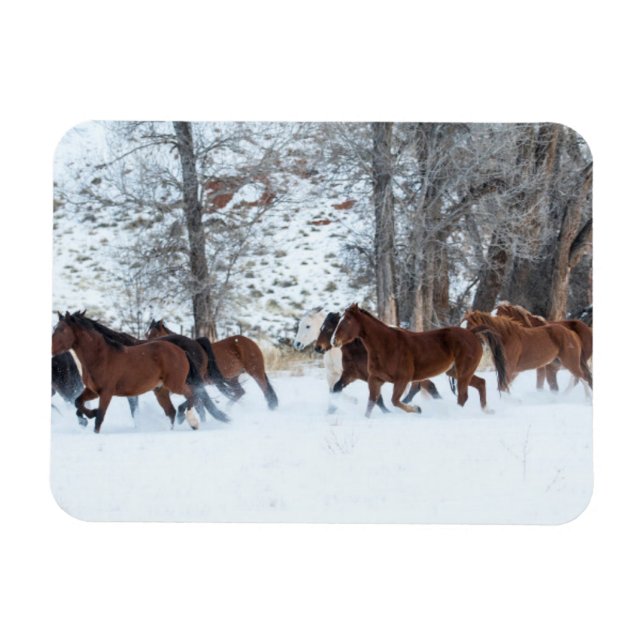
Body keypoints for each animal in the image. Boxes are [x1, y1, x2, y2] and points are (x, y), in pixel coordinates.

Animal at [52, 311, 229, 433]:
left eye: (62, 330)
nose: (51, 349)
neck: (101, 356)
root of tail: (182, 350)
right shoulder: (93, 391)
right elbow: (78, 403)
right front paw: (87, 417)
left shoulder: (107, 392)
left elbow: (100, 418)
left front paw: (93, 421)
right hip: (161, 390)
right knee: (174, 410)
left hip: (176, 384)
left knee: (193, 398)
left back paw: (190, 420)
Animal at [147, 319, 278, 410]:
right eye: (147, 335)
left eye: (154, 335)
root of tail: (250, 342)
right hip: (232, 378)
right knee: (239, 392)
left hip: (256, 372)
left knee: (265, 390)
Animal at [330, 304, 509, 417]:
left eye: (347, 320)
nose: (334, 341)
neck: (386, 345)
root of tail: (472, 333)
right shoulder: (375, 379)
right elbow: (371, 404)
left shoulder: (402, 379)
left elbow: (395, 401)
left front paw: (417, 409)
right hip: (457, 372)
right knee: (481, 383)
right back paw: (487, 410)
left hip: (463, 372)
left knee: (463, 396)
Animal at [462, 310, 593, 391]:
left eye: (470, 325)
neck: (506, 337)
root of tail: (572, 333)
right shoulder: (510, 371)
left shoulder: (509, 370)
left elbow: (503, 388)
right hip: (557, 364)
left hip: (570, 363)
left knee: (583, 379)